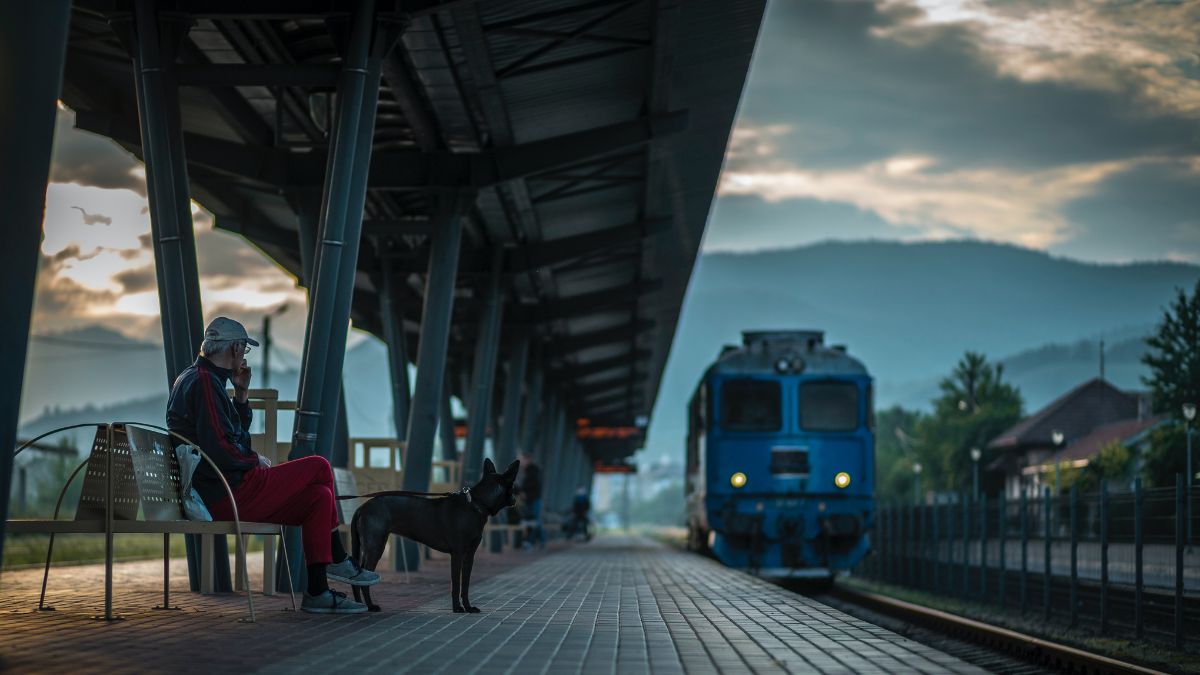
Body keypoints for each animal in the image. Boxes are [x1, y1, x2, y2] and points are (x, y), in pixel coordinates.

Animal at [348, 456, 516, 610]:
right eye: (513, 486)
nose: (515, 499)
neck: (476, 504)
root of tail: (361, 508)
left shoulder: (469, 555)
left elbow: (465, 584)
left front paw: (468, 607)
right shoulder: (457, 554)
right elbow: (456, 584)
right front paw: (457, 608)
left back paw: (360, 605)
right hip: (375, 546)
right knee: (363, 577)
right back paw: (370, 606)